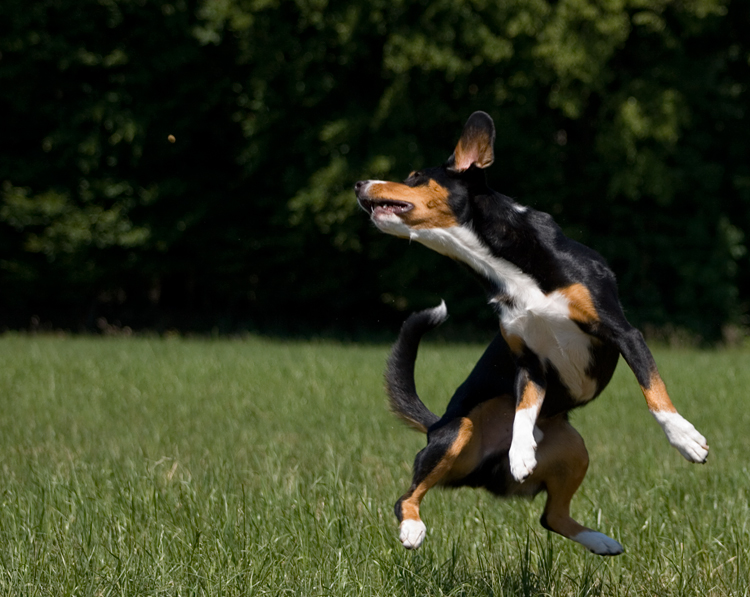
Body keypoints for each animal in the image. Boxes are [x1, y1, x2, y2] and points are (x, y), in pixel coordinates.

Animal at [356, 112, 712, 556]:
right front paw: (521, 452)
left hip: (575, 449)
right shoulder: (528, 361)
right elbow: (524, 410)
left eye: (415, 176)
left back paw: (601, 541)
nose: (359, 184)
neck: (503, 264)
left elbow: (655, 393)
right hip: (458, 431)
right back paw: (412, 527)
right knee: (405, 497)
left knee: (551, 516)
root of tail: (437, 424)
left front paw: (685, 438)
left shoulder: (623, 333)